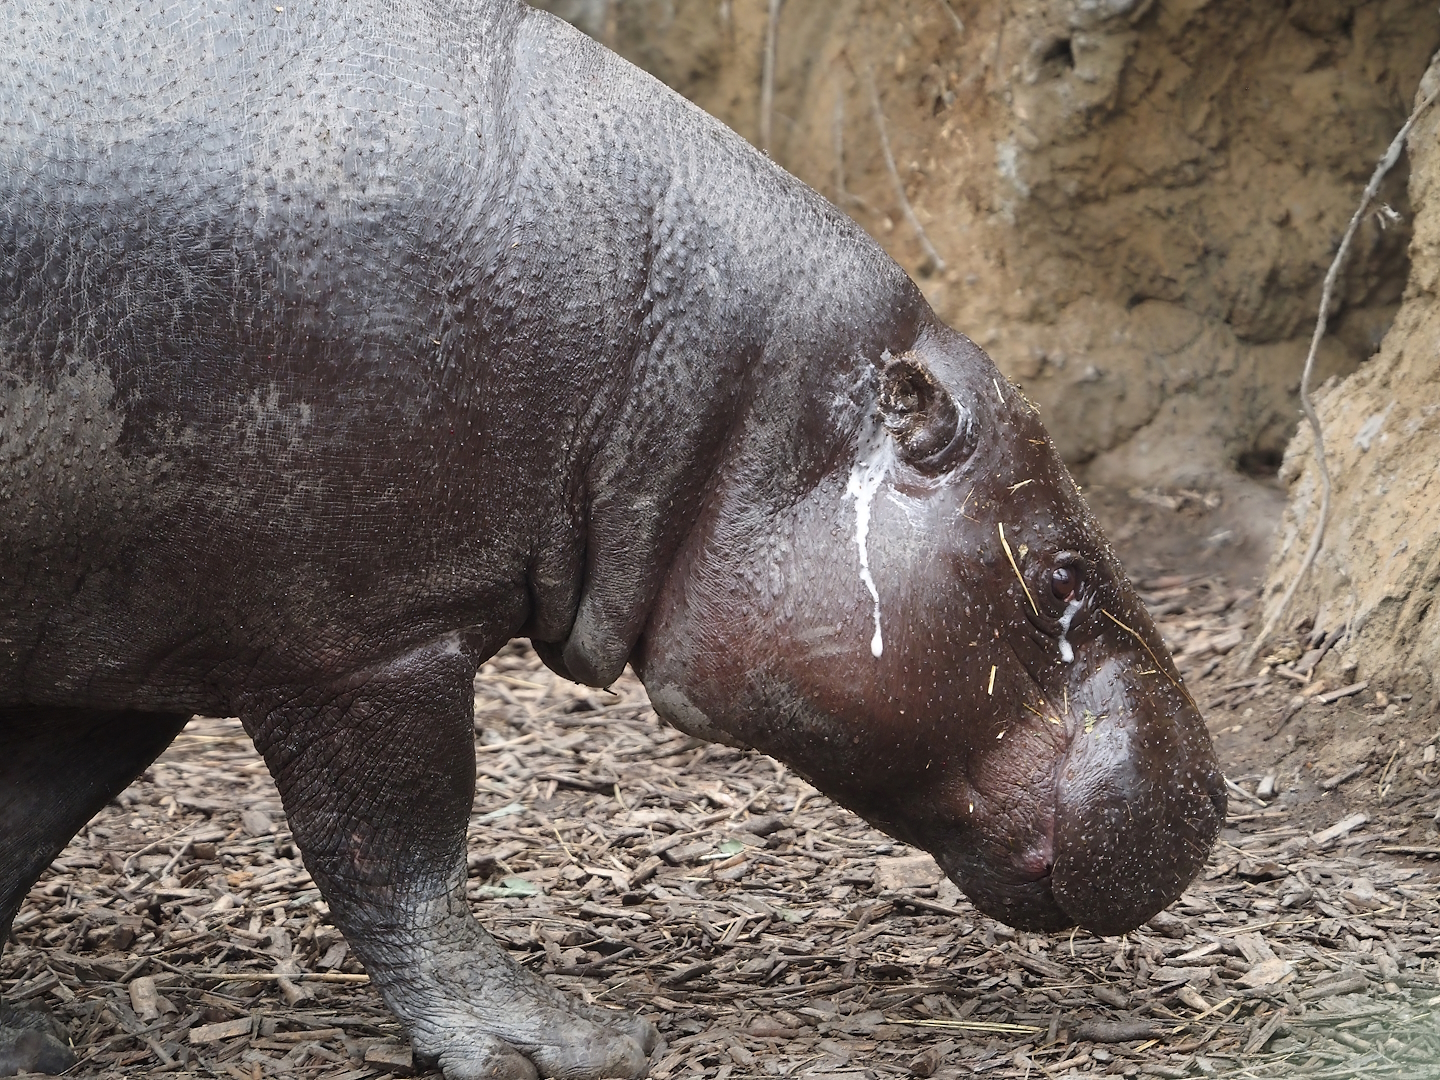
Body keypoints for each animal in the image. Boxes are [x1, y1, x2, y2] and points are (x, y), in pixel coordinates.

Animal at [0, 0, 1226, 1076]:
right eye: (1062, 575)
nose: (1216, 797)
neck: (720, 385)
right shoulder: (370, 641)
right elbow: (401, 856)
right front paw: (568, 1045)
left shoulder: (122, 647)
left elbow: (26, 816)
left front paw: (22, 1039)